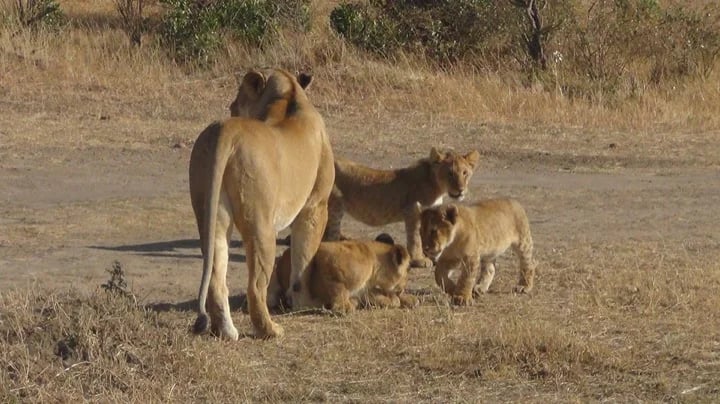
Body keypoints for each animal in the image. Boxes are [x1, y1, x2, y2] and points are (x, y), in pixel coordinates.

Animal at [188, 69, 335, 340]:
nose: (231, 107)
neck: (289, 94)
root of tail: (226, 129)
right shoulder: (315, 206)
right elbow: (304, 259)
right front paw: (305, 304)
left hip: (210, 215)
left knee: (215, 277)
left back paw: (227, 331)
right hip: (261, 225)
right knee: (256, 287)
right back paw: (271, 330)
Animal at [268, 238, 418, 313]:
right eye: (408, 269)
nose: (405, 285)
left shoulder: (367, 291)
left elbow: (392, 299)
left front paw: (409, 299)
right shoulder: (326, 253)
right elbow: (338, 287)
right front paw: (344, 306)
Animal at [324, 148, 480, 268]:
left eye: (465, 173)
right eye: (450, 173)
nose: (461, 190)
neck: (436, 185)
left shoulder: (430, 212)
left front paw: (430, 254)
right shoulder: (412, 210)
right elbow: (415, 237)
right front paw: (419, 259)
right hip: (335, 205)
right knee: (329, 233)